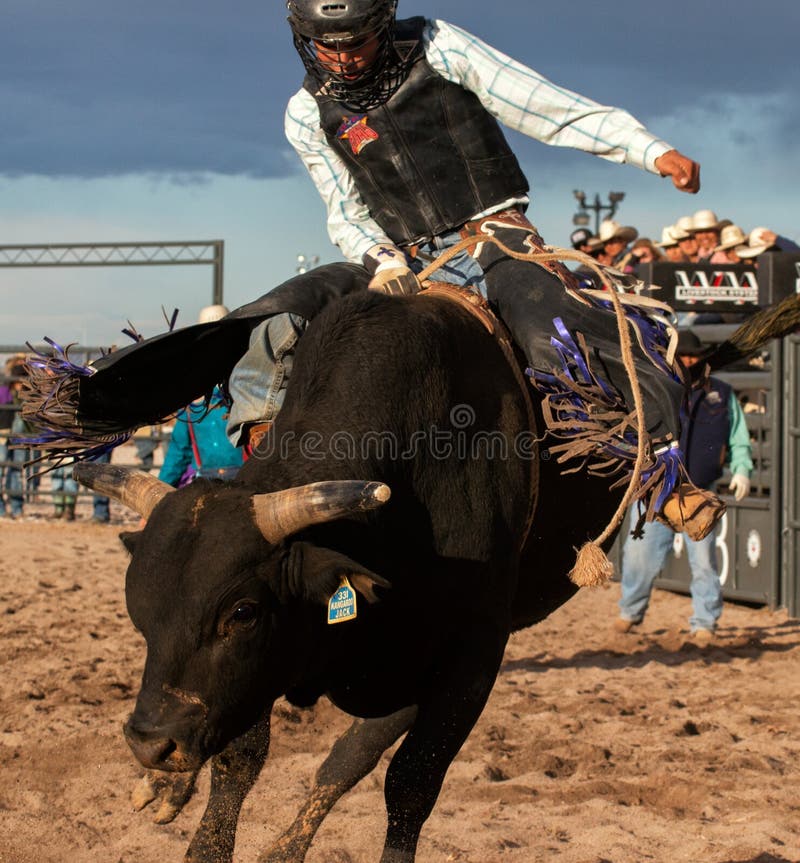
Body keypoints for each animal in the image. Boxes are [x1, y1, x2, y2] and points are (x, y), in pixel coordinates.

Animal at [76, 286, 620, 860]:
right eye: (139, 611)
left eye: (242, 613)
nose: (150, 744)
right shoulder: (267, 666)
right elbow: (237, 762)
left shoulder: (475, 654)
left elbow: (410, 782)